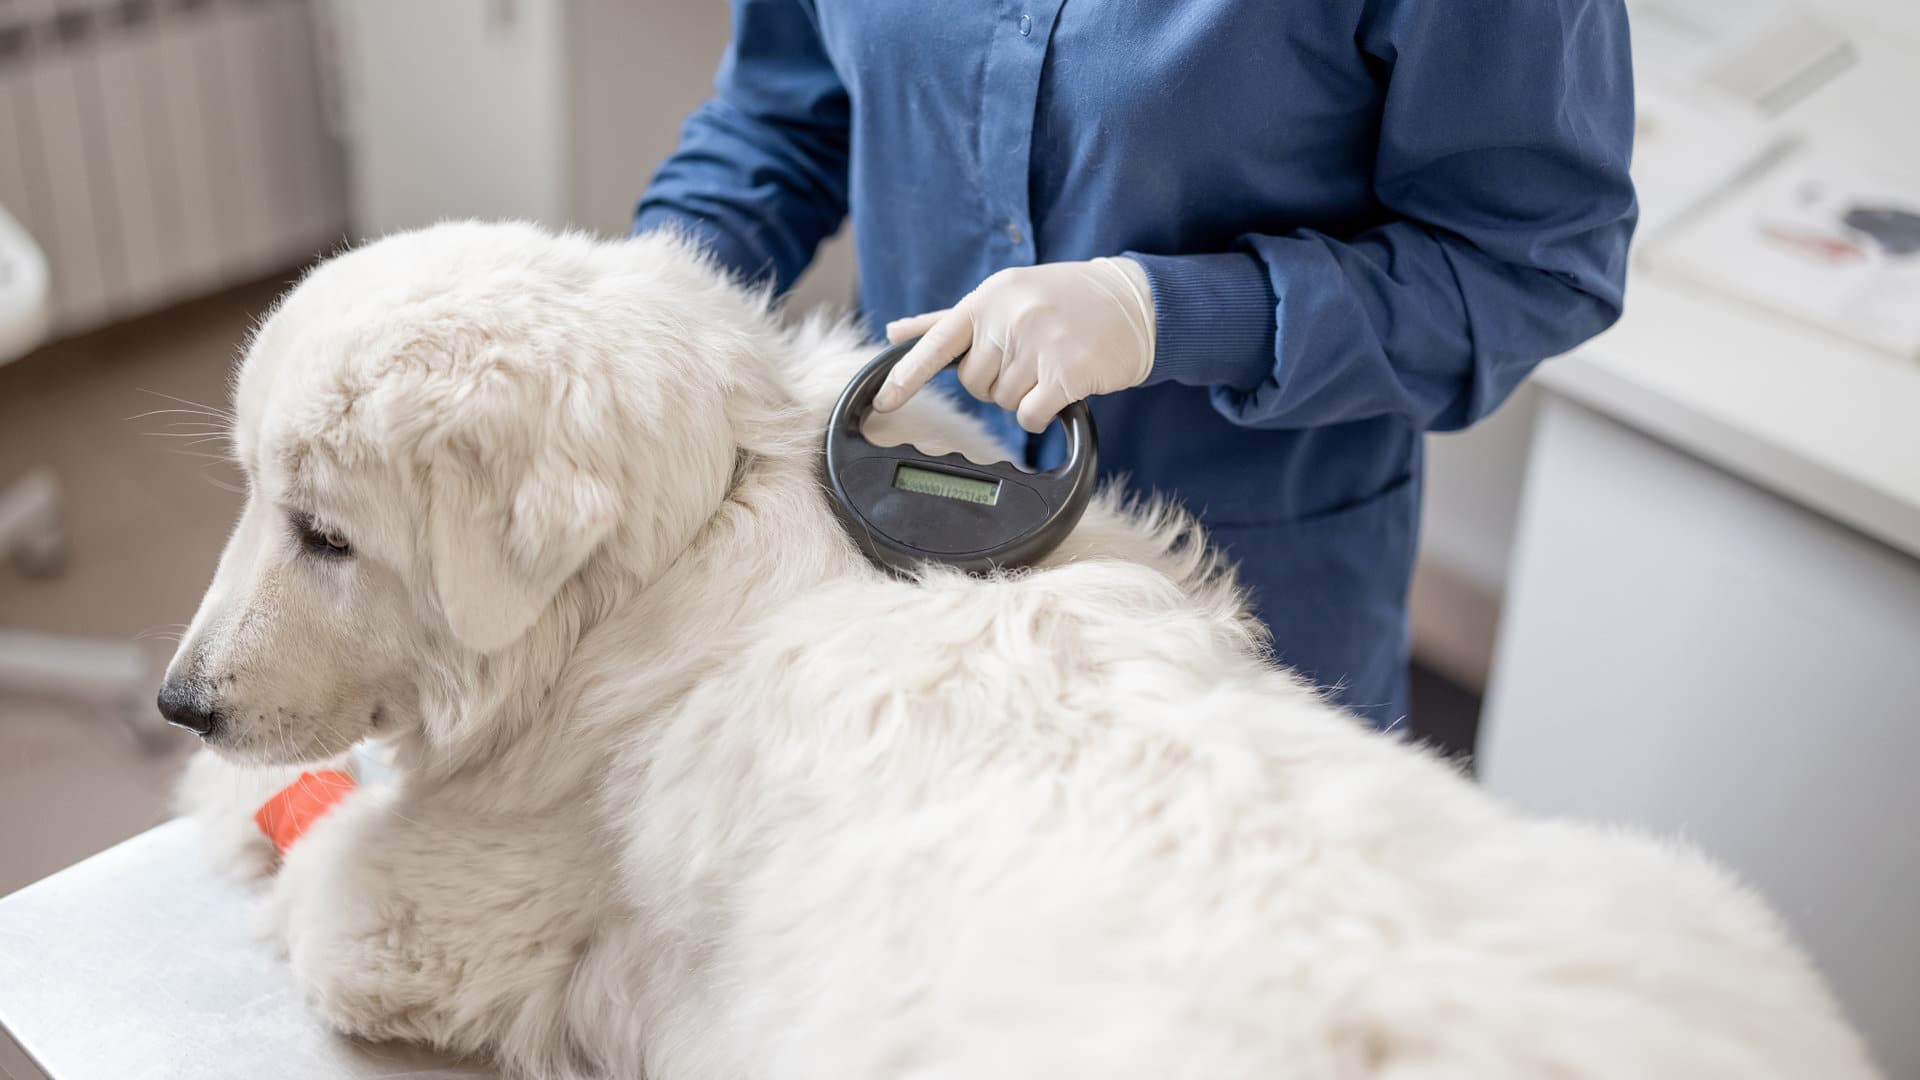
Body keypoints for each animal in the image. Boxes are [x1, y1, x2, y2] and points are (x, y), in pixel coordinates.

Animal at [168, 220, 1873, 1076]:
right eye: (247, 495)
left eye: (324, 535)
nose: (180, 701)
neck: (703, 518)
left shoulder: (421, 922)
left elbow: (328, 848)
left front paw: (233, 798)